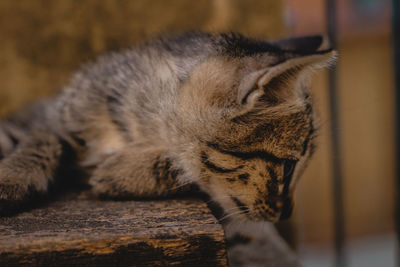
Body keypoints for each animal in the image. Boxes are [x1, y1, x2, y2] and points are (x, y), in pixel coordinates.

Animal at [0, 30, 334, 266]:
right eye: (289, 168)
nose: (287, 213)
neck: (142, 125)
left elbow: (185, 168)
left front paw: (119, 173)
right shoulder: (50, 117)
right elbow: (41, 140)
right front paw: (12, 178)